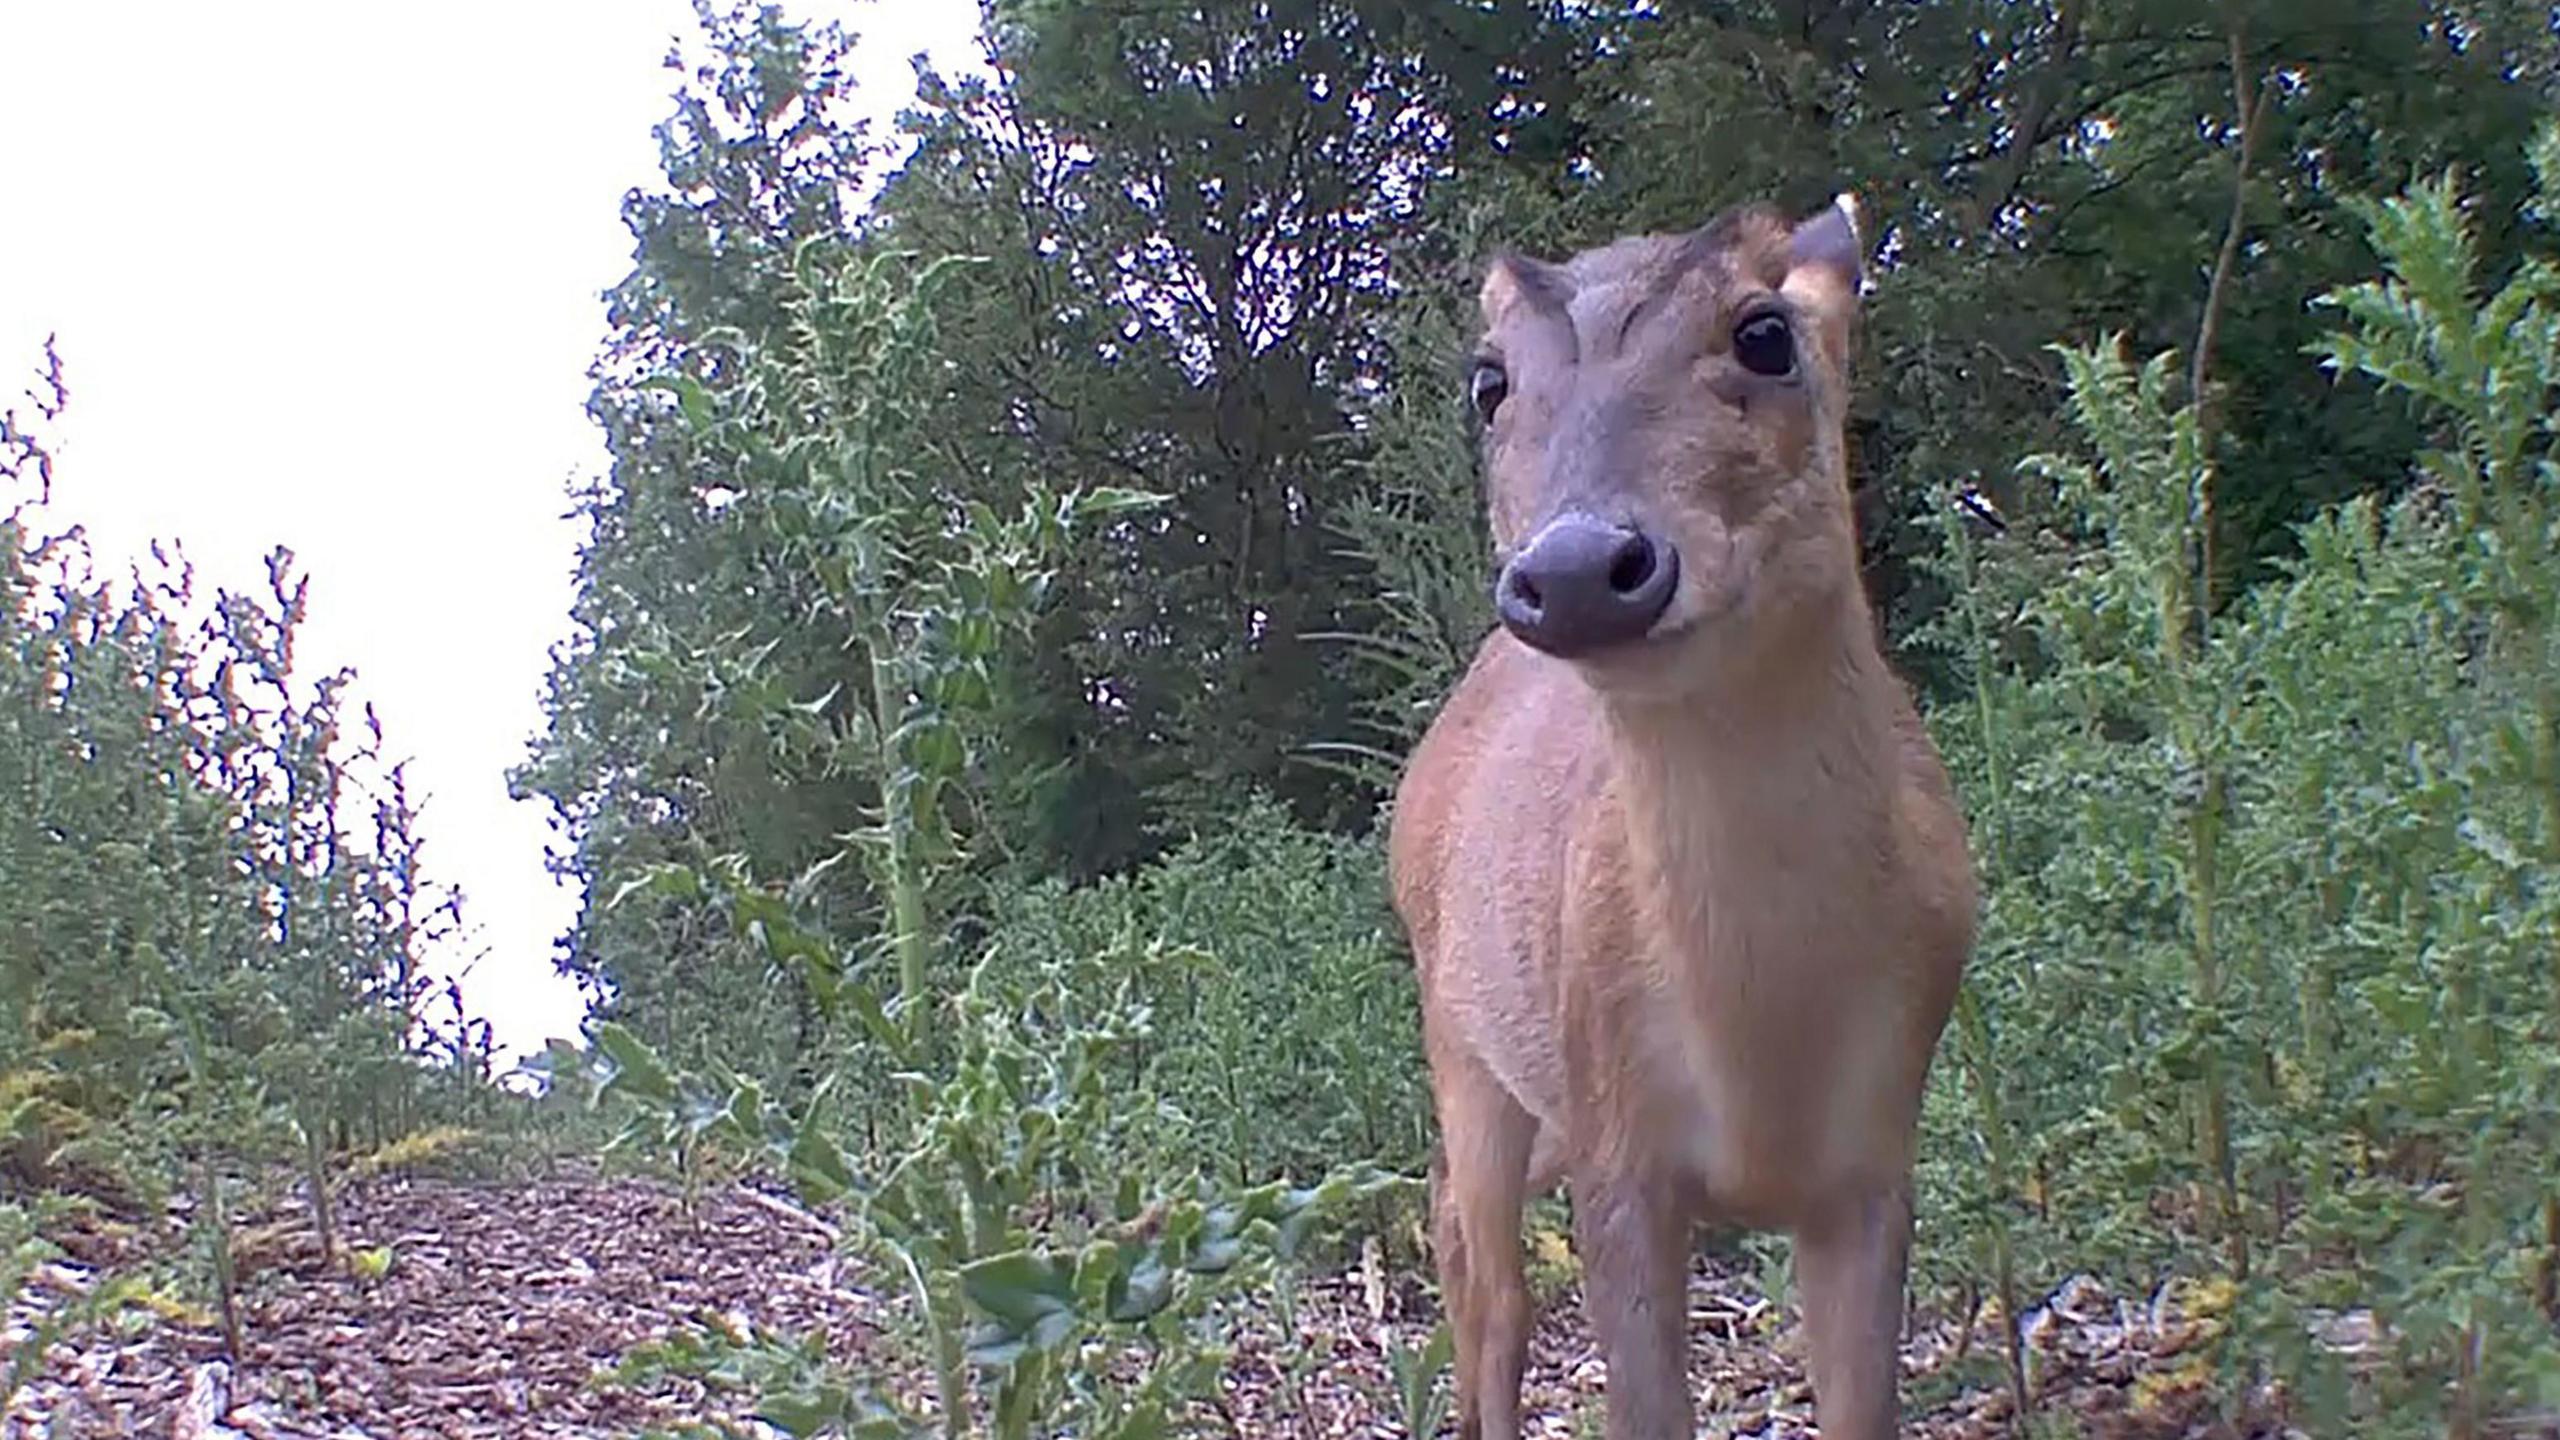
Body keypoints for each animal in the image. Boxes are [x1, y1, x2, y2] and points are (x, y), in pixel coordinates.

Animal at [1402, 193, 1976, 1434]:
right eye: (1488, 382)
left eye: (1764, 333)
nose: (1577, 567)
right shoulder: (1617, 1139)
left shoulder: (1877, 1156)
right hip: (1461, 1038)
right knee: (1488, 1274)